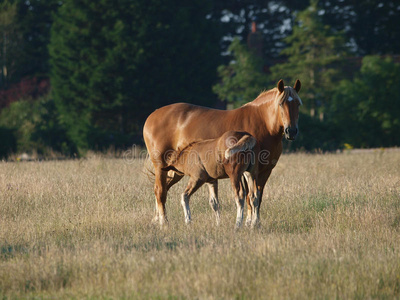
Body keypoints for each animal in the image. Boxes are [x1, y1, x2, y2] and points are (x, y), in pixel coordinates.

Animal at [142, 79, 302, 225]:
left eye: (298, 104)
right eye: (281, 104)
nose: (291, 131)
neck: (263, 124)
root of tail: (152, 116)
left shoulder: (264, 171)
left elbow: (257, 196)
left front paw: (255, 223)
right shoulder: (245, 172)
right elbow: (248, 197)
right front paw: (248, 222)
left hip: (175, 170)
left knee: (163, 189)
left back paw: (156, 219)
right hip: (161, 167)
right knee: (160, 191)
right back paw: (164, 222)